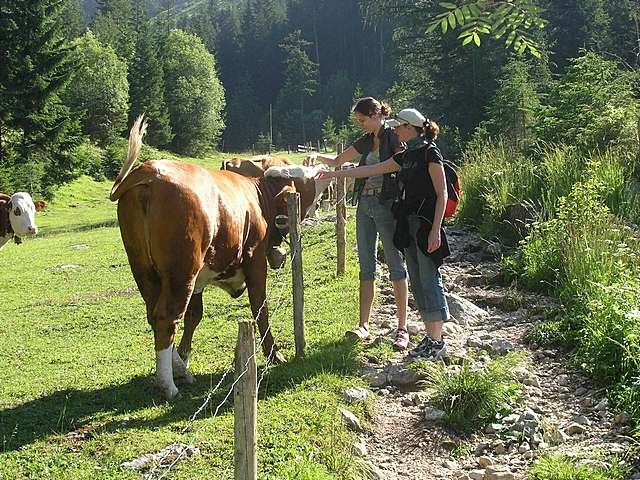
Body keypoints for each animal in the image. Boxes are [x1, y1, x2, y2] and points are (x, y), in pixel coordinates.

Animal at [110, 118, 332, 400]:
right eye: (304, 176)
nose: (324, 167)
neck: (258, 197)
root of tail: (149, 171)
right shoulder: (254, 261)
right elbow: (260, 308)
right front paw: (274, 354)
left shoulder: (199, 279)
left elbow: (194, 315)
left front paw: (183, 360)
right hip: (181, 271)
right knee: (166, 316)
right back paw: (168, 385)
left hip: (145, 270)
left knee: (155, 314)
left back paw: (179, 370)